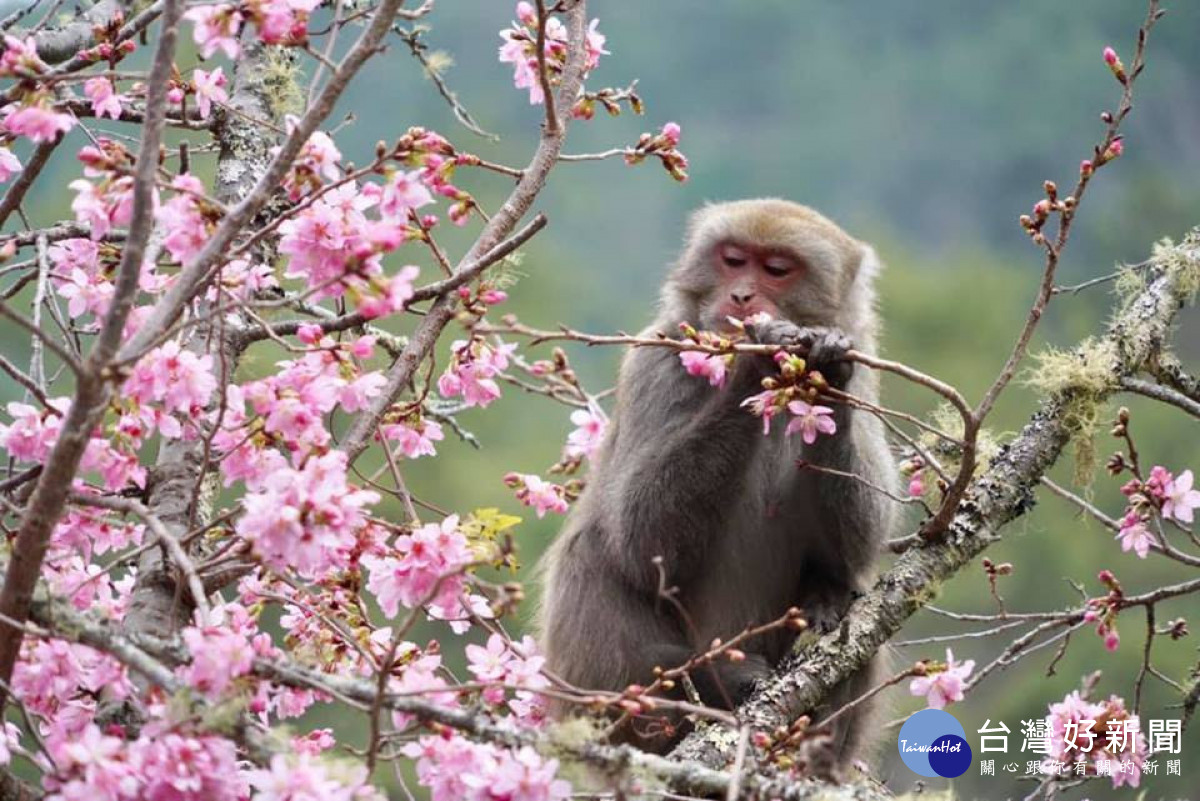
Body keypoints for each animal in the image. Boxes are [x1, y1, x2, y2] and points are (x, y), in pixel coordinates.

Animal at [540, 199, 897, 762]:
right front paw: (757, 359)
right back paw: (715, 681)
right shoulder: (655, 362)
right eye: (733, 260)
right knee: (592, 554)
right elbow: (640, 542)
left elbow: (855, 547)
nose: (742, 296)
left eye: (777, 268)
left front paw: (825, 364)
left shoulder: (865, 376)